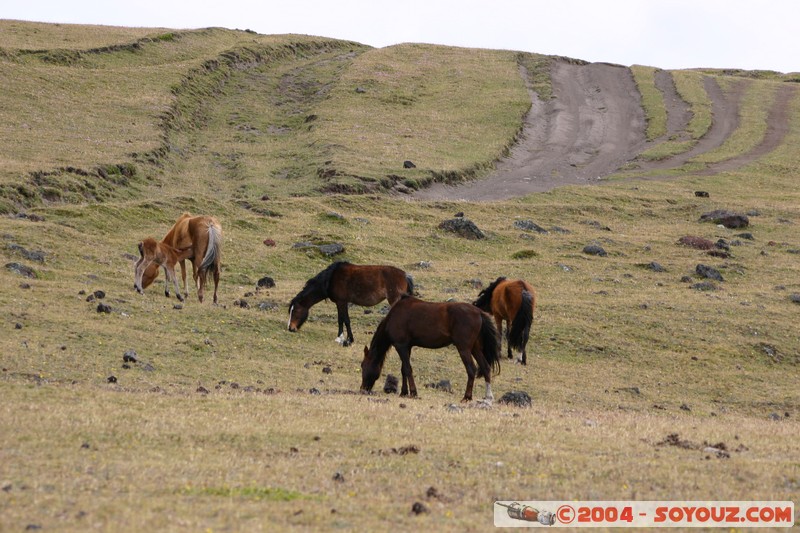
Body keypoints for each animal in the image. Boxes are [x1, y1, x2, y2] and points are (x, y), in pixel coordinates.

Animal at [362, 294, 500, 402]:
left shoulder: (400, 346)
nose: (362, 389)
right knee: (485, 367)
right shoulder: (407, 347)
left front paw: (413, 392)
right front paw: (403, 392)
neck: (394, 316)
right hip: (475, 348)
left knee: (471, 369)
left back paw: (467, 397)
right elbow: (403, 370)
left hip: (464, 349)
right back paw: (488, 396)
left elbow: (407, 369)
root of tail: (479, 312)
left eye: (363, 365)